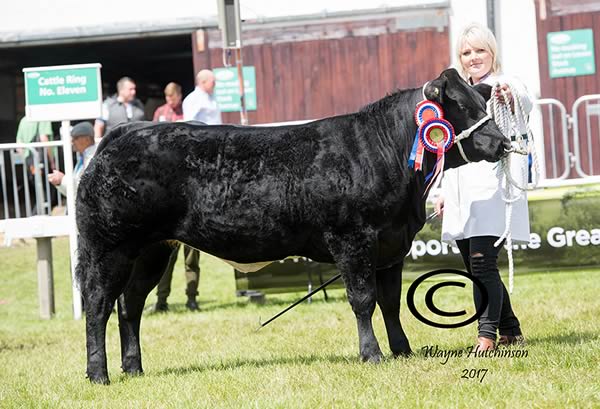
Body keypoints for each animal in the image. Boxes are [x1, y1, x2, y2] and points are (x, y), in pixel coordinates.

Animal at [75, 67, 506, 382]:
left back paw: (134, 368)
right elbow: (363, 300)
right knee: (98, 304)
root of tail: (123, 132)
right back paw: (99, 374)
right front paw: (372, 354)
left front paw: (402, 351)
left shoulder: (391, 244)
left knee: (131, 304)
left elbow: (389, 301)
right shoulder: (353, 239)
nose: (502, 143)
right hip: (108, 246)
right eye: (461, 106)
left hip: (151, 249)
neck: (385, 152)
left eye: (481, 101)